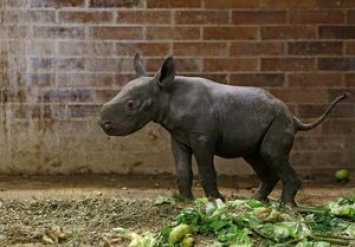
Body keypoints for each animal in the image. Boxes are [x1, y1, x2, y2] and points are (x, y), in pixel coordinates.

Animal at [98, 54, 350, 206]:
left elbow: (207, 170)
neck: (166, 94)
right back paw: (256, 202)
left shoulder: (202, 137)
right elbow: (182, 170)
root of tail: (294, 118)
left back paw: (285, 207)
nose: (103, 124)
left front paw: (217, 201)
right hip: (268, 121)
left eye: (131, 105)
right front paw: (186, 202)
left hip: (280, 120)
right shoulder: (178, 136)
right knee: (257, 155)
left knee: (272, 153)